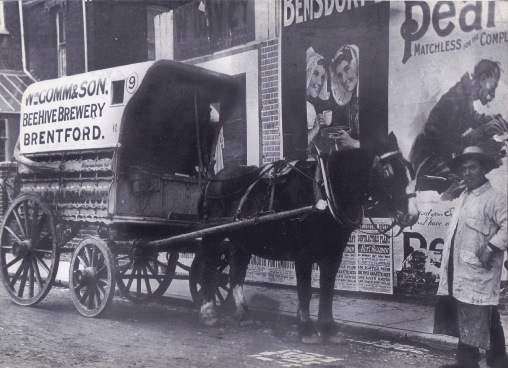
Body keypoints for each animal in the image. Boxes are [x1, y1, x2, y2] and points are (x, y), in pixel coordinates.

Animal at [196, 134, 418, 344]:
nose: (412, 216)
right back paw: (208, 312)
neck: (325, 192)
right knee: (207, 267)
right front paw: (307, 329)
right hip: (213, 236)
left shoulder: (334, 252)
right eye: (387, 172)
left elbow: (327, 289)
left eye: (410, 169)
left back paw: (243, 314)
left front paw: (329, 328)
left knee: (236, 274)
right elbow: (305, 289)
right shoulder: (303, 253)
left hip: (242, 240)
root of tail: (213, 180)